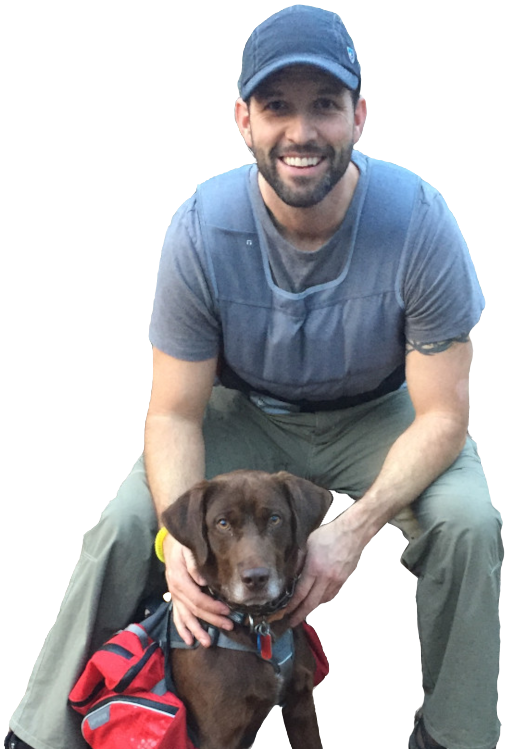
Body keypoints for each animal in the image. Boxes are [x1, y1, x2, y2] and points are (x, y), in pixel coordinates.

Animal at [161, 470, 332, 744]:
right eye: (222, 524)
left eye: (274, 519)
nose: (256, 579)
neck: (257, 623)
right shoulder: (219, 733)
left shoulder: (301, 707)